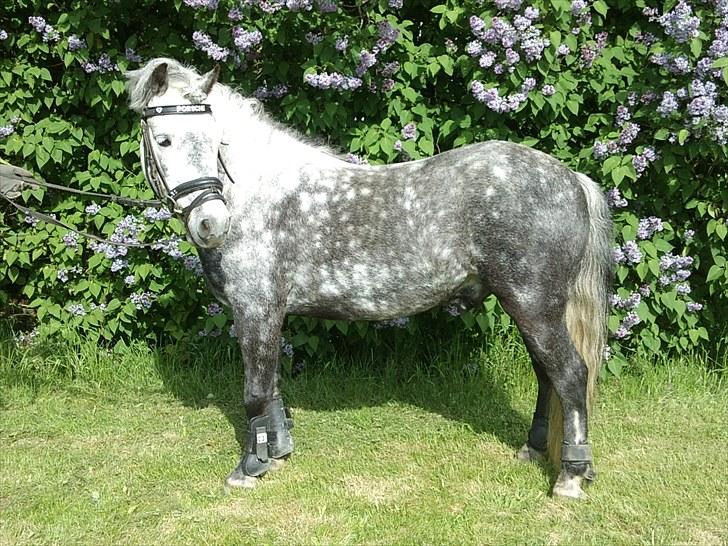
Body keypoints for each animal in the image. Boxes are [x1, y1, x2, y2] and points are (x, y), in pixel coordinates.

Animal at [125, 58, 612, 500]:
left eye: (214, 142)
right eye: (165, 140)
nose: (211, 223)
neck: (260, 195)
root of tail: (571, 179)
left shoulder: (255, 311)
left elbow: (255, 393)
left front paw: (250, 468)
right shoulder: (269, 316)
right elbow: (273, 388)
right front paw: (277, 454)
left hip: (534, 306)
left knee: (570, 375)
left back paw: (570, 477)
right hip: (531, 309)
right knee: (547, 376)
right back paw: (534, 450)